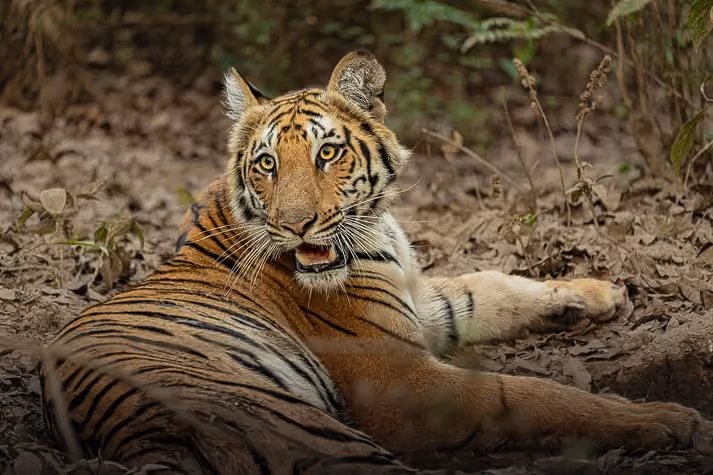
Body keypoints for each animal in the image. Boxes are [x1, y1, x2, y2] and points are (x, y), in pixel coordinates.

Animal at [40, 50, 713, 475]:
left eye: (327, 153)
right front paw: (667, 420)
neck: (377, 232)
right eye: (267, 164)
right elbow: (527, 394)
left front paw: (598, 293)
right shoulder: (398, 381)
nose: (295, 224)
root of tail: (142, 438)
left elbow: (490, 285)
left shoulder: (421, 305)